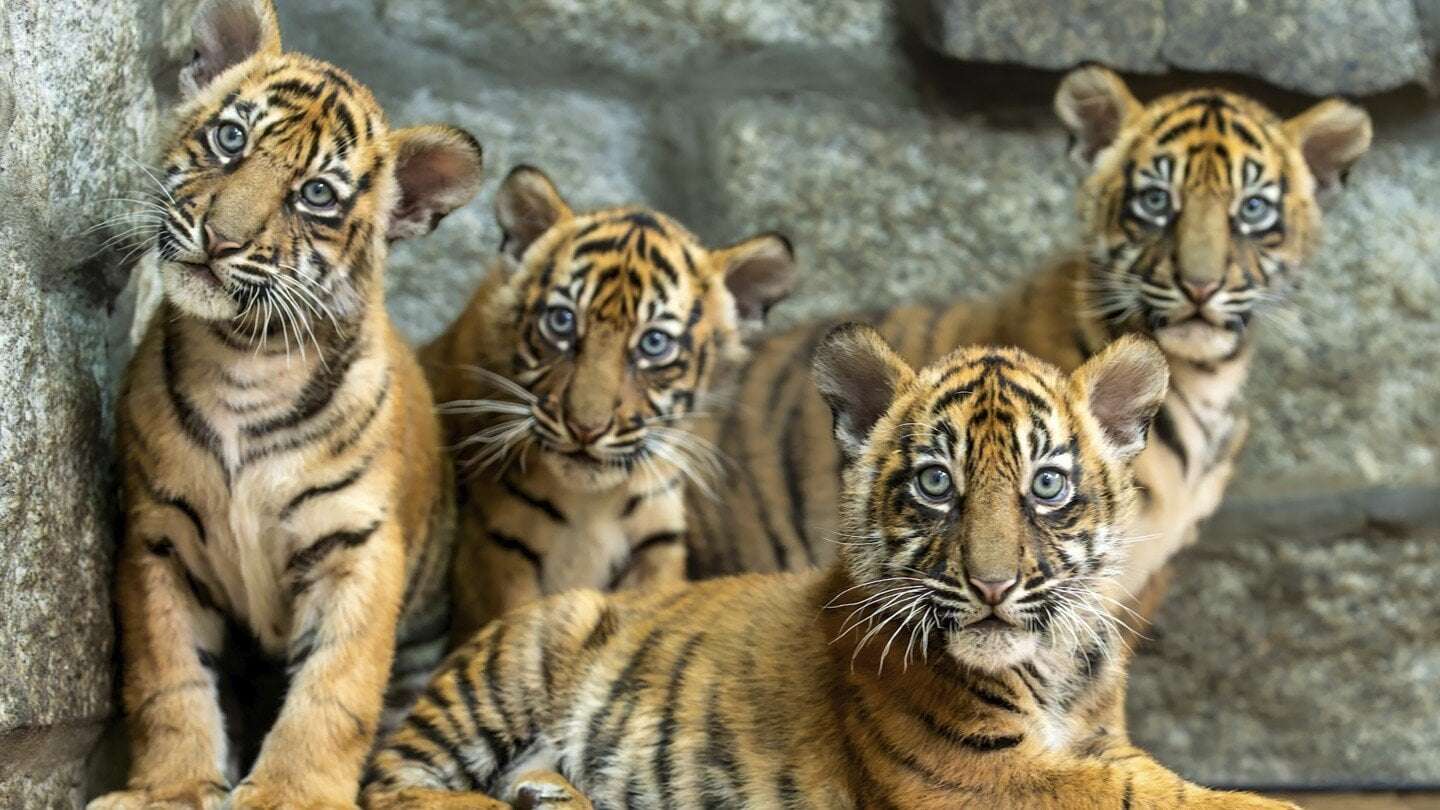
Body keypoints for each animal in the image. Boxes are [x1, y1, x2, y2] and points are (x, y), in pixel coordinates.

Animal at [89, 0, 483, 807]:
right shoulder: (157, 538)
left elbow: (333, 691)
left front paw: (289, 793)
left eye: (317, 195)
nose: (219, 238)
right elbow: (168, 677)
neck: (243, 359)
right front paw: (172, 787)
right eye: (230, 138)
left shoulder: (356, 547)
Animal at [362, 326, 1297, 810]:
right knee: (390, 782)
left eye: (1047, 484)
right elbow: (1137, 795)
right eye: (936, 483)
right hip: (520, 658)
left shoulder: (1095, 740)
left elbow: (1151, 778)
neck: (1057, 663)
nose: (992, 587)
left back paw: (551, 793)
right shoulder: (975, 771)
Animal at [422, 164, 797, 642]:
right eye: (562, 321)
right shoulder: (498, 548)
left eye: (654, 343)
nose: (586, 428)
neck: (592, 503)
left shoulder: (656, 543)